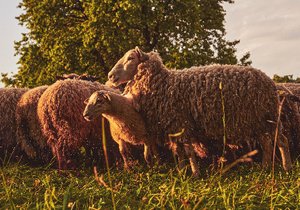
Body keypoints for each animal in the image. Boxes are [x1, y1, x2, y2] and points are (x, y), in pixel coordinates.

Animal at [108, 47, 292, 176]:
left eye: (130, 58)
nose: (110, 76)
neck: (163, 83)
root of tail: (268, 80)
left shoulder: (182, 124)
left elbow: (189, 151)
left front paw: (195, 173)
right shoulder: (173, 127)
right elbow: (179, 152)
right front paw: (182, 172)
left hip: (269, 116)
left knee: (282, 141)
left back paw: (286, 167)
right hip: (259, 121)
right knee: (267, 143)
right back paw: (266, 167)